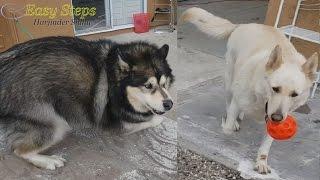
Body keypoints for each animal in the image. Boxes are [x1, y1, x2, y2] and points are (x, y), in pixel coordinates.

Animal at [180, 7, 318, 174]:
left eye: (294, 94)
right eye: (275, 89)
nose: (277, 118)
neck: (261, 98)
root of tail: (242, 25)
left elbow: (266, 145)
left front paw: (261, 162)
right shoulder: (239, 99)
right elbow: (227, 128)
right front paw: (228, 123)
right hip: (229, 81)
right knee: (228, 100)